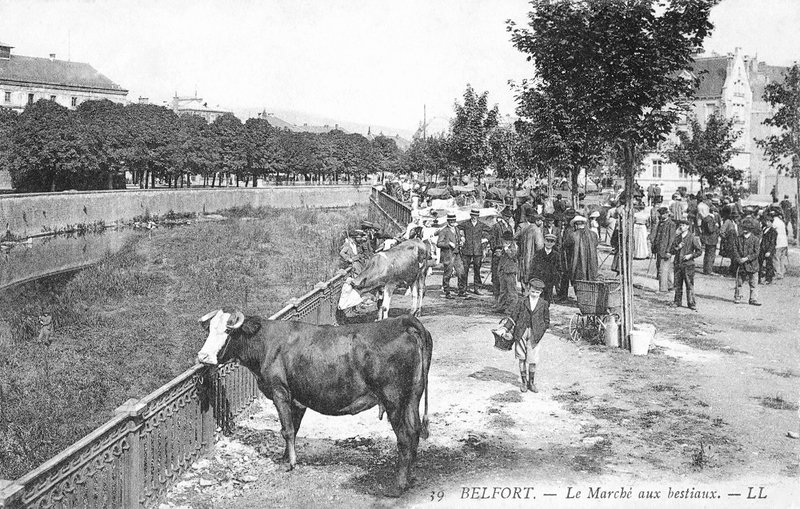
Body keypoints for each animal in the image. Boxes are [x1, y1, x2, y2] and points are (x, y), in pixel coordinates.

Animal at [195, 308, 432, 494]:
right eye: (209, 330)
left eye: (227, 331)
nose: (203, 356)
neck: (267, 344)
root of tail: (402, 322)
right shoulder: (297, 399)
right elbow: (294, 427)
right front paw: (286, 457)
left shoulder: (280, 392)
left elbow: (287, 429)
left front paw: (290, 463)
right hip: (413, 395)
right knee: (415, 430)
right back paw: (410, 477)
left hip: (393, 399)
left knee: (405, 436)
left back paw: (398, 485)